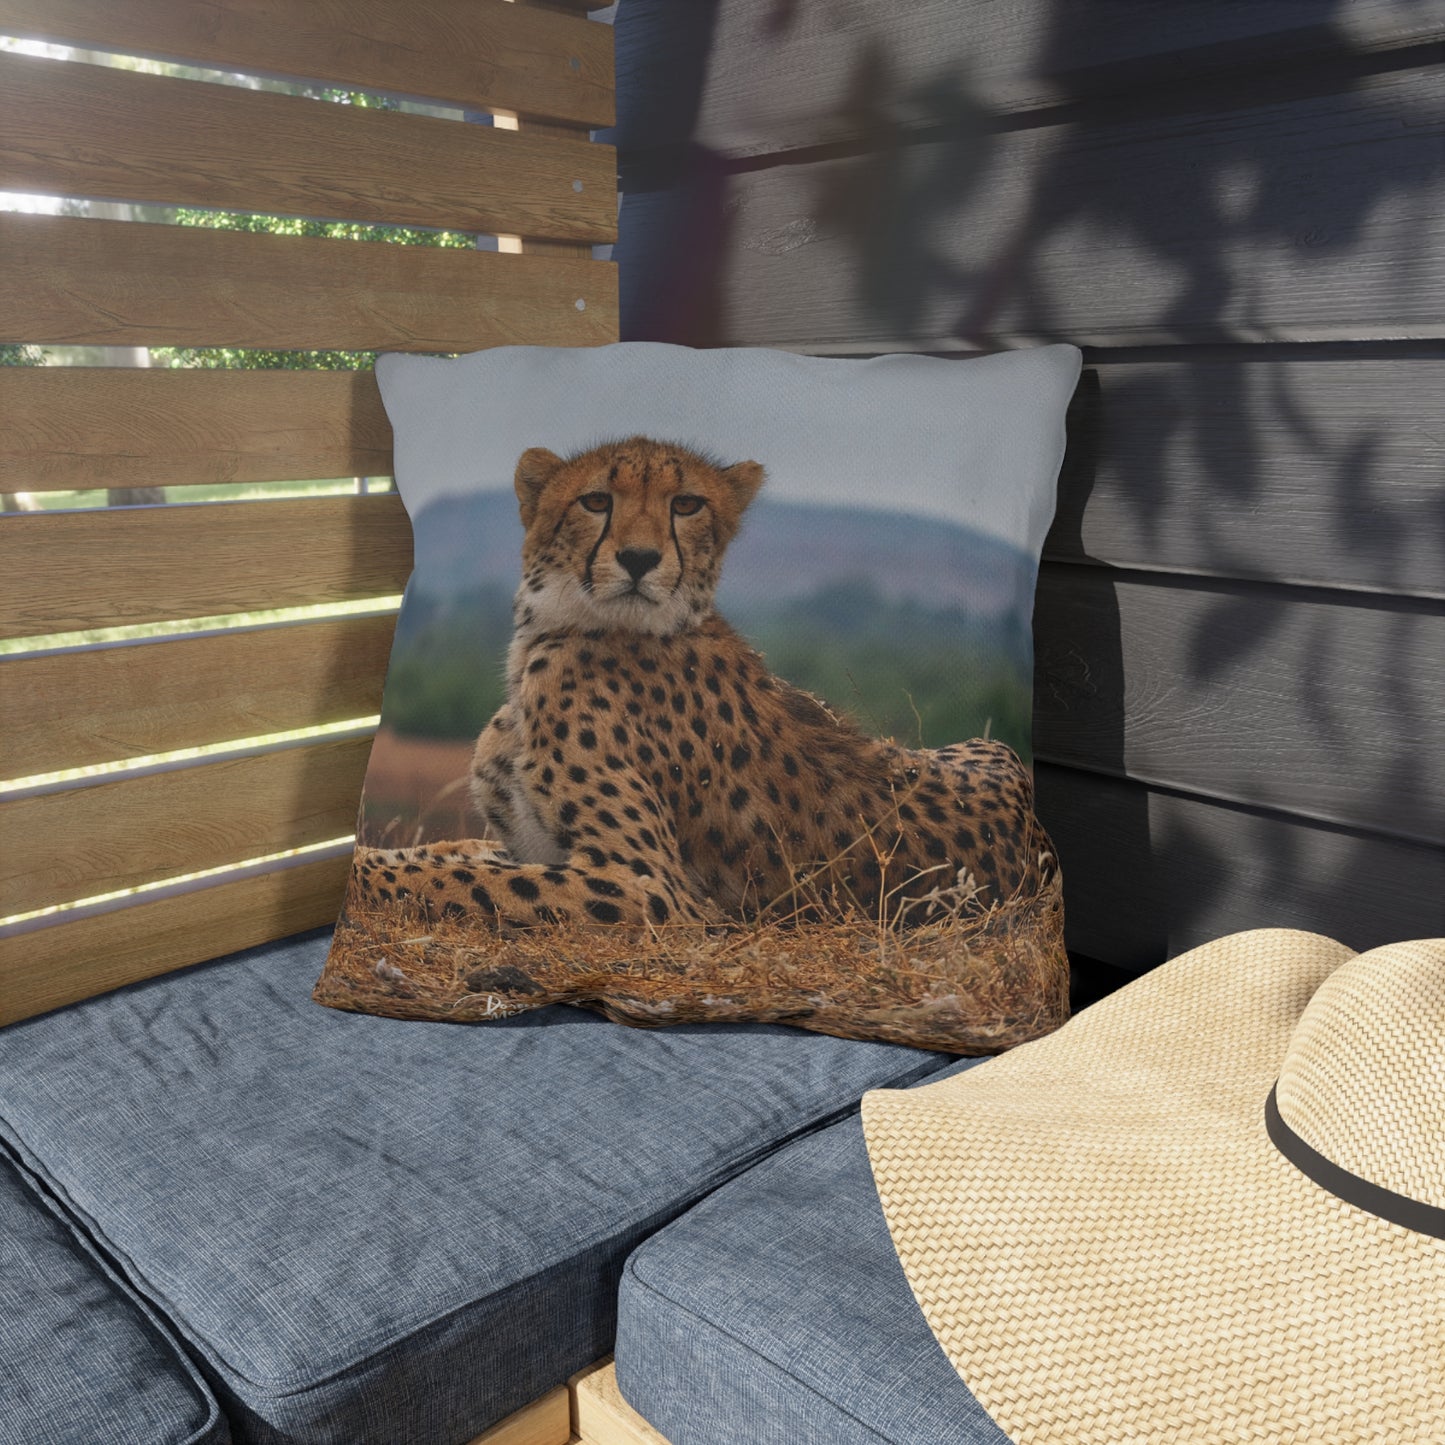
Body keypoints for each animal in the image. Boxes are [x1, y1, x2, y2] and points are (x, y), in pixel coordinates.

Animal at [353, 437, 1057, 934]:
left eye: (686, 504)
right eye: (596, 501)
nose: (640, 559)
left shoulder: (652, 889)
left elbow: (449, 878)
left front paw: (368, 873)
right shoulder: (529, 846)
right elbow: (448, 855)